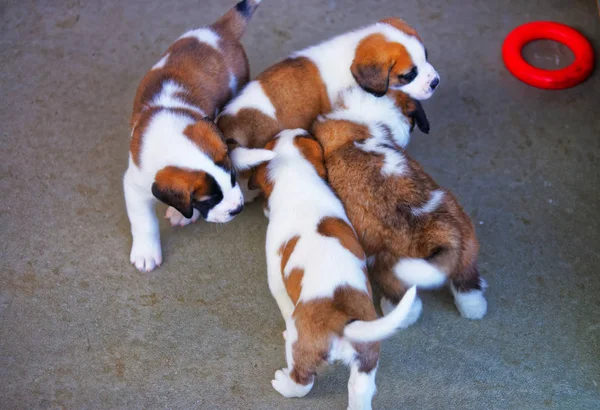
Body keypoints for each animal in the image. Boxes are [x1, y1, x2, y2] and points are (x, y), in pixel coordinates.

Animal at [123, 0, 262, 272]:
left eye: (233, 177)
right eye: (207, 199)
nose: (237, 209)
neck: (172, 140)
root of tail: (218, 31)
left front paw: (182, 213)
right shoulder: (134, 183)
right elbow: (143, 221)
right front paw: (146, 252)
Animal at [233, 130, 418, 408]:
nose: (296, 129)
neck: (297, 174)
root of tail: (343, 321)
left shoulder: (276, 276)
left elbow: (284, 303)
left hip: (302, 348)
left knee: (303, 382)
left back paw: (284, 383)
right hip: (366, 360)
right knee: (360, 390)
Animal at [314, 89, 488, 324]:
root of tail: (437, 233)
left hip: (387, 268)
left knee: (407, 302)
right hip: (466, 253)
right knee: (468, 289)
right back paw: (475, 310)